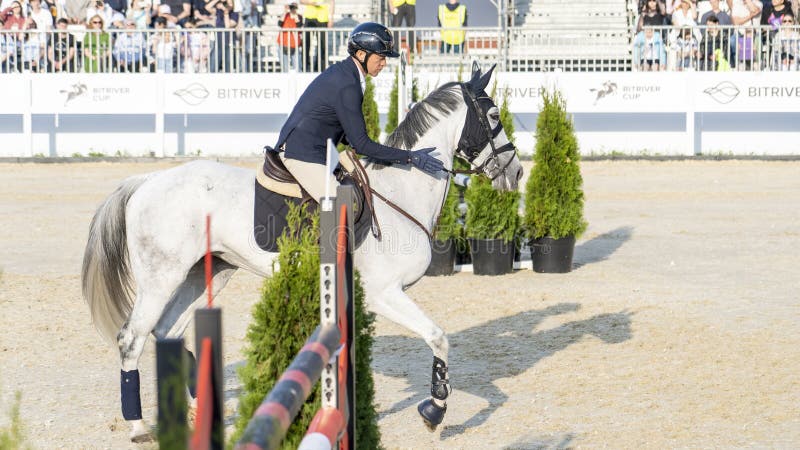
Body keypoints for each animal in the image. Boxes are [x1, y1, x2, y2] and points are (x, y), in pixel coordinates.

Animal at [83, 61, 524, 442]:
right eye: (494, 116)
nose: (517, 173)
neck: (401, 190)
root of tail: (146, 181)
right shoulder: (385, 293)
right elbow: (437, 337)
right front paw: (435, 409)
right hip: (162, 276)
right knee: (132, 338)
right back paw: (139, 427)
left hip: (206, 272)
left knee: (166, 332)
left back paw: (197, 413)